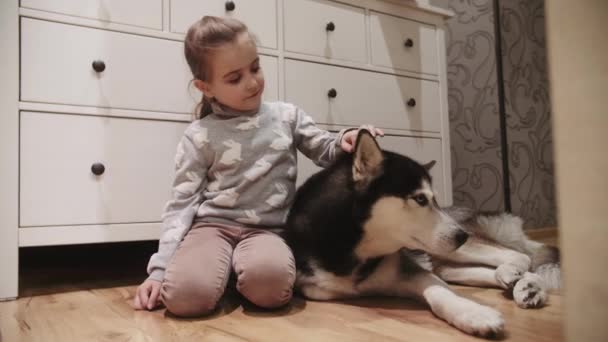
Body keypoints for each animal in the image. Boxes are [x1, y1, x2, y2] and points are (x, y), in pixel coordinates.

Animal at [284, 130, 560, 338]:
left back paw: (517, 277)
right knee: (487, 270)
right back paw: (525, 285)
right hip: (446, 261)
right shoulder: (314, 286)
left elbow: (440, 292)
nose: (461, 236)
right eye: (420, 199)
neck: (351, 247)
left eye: (433, 199)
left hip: (462, 249)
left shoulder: (409, 269)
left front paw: (475, 314)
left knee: (519, 256)